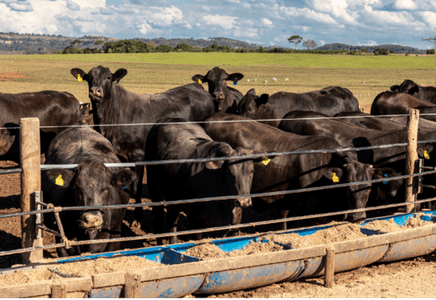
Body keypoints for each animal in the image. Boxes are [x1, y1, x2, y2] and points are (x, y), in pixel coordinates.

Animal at [70, 65, 216, 225]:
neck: (110, 120)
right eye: (89, 77)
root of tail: (197, 87)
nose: (95, 91)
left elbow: (136, 187)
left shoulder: (137, 156)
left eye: (108, 77)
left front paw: (138, 217)